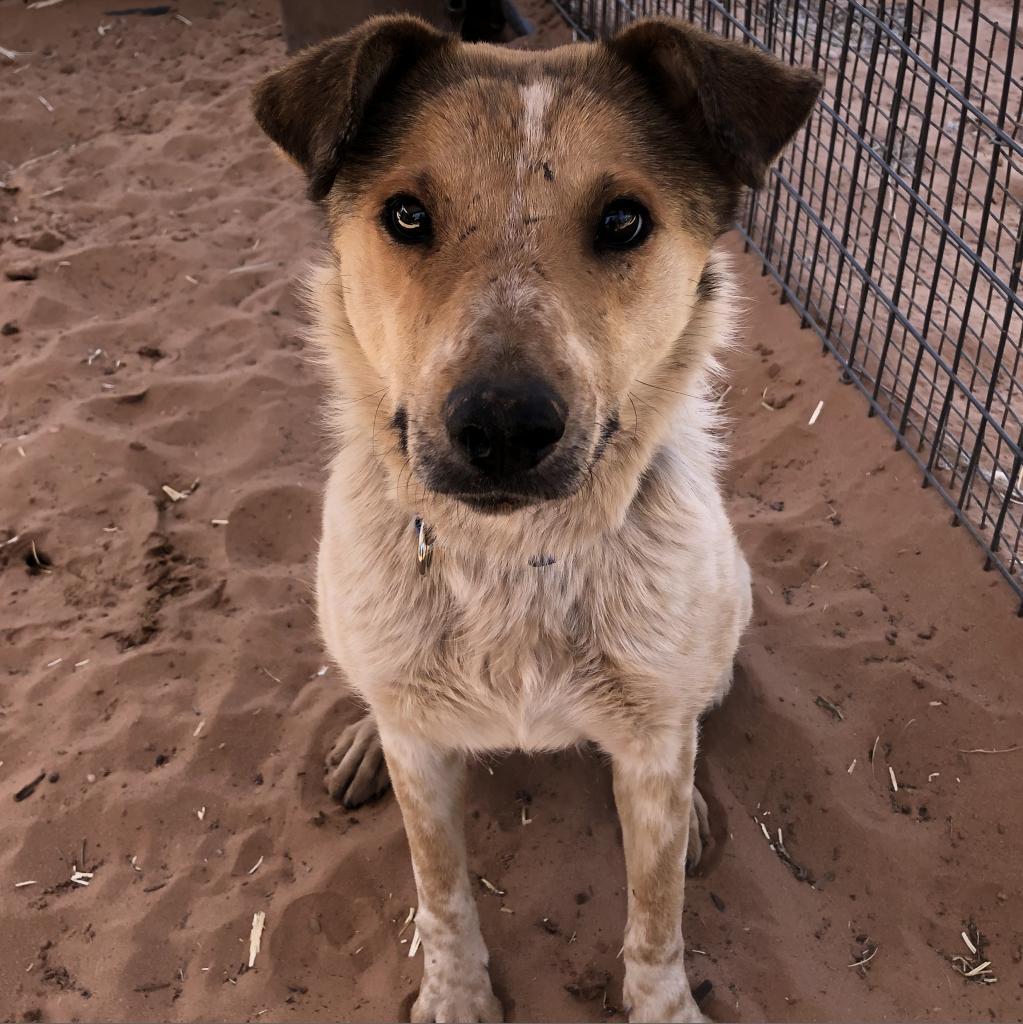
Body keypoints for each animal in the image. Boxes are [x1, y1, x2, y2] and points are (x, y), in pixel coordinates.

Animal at [256, 19, 823, 1019]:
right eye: (407, 215)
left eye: (623, 221)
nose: (502, 427)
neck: (514, 555)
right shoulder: (423, 764)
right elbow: (439, 888)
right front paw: (456, 997)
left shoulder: (652, 747)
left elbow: (656, 910)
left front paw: (662, 1001)